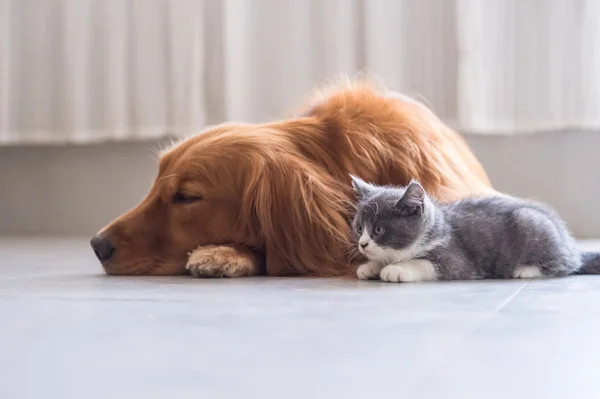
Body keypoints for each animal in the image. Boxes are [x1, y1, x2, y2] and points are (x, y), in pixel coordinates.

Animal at [350, 177, 600, 282]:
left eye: (379, 230)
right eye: (360, 228)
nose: (362, 244)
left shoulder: (456, 258)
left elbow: (428, 263)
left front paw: (397, 269)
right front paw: (371, 267)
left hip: (533, 223)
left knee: (566, 265)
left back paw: (526, 270)